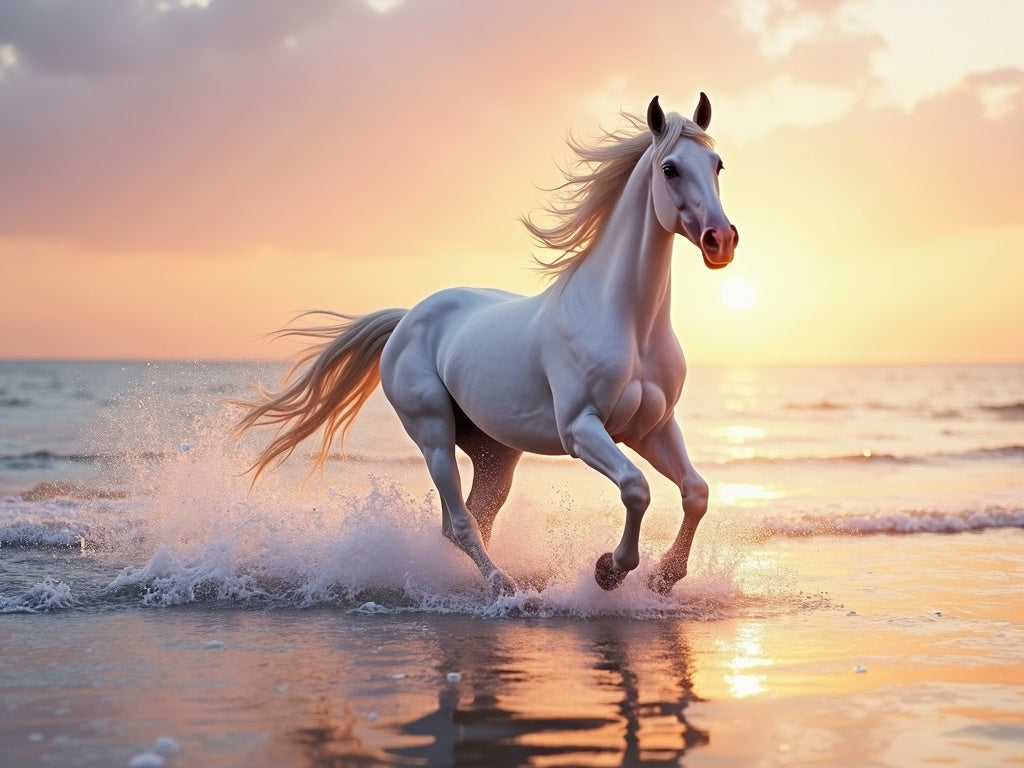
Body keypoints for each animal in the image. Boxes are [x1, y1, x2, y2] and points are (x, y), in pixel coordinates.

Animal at [235, 93, 738, 598]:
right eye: (670, 168)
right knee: (461, 522)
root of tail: (407, 318)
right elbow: (636, 488)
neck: (627, 323)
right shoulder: (581, 429)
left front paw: (664, 576)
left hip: (496, 453)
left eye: (717, 164)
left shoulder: (652, 428)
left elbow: (696, 492)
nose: (721, 240)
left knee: (474, 516)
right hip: (434, 436)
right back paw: (502, 585)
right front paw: (608, 571)